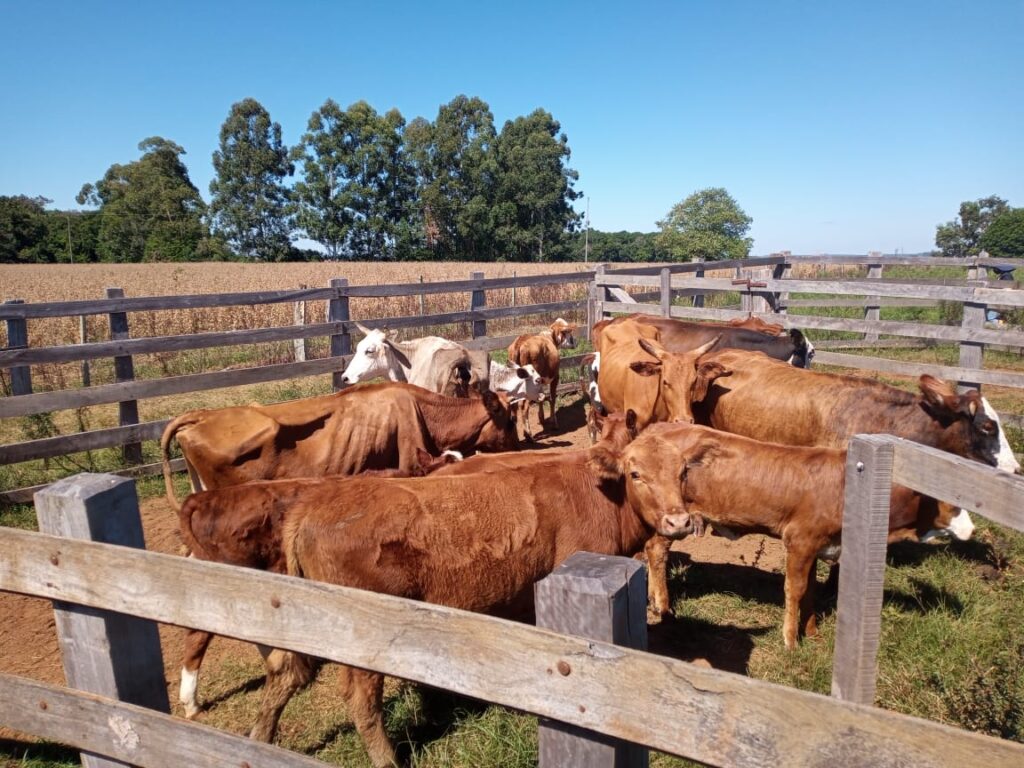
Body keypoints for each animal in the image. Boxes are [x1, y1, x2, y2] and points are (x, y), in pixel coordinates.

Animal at [238, 428, 700, 768]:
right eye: (636, 474)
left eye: (682, 473)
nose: (678, 521)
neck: (600, 495)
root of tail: (314, 504)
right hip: (360, 636)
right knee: (361, 701)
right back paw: (386, 759)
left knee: (283, 673)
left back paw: (260, 739)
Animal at [647, 428, 958, 651]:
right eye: (949, 503)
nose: (966, 526)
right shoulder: (799, 541)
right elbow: (795, 590)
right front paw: (791, 641)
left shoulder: (817, 546)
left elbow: (810, 590)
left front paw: (812, 633)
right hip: (673, 522)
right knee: (656, 551)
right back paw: (663, 606)